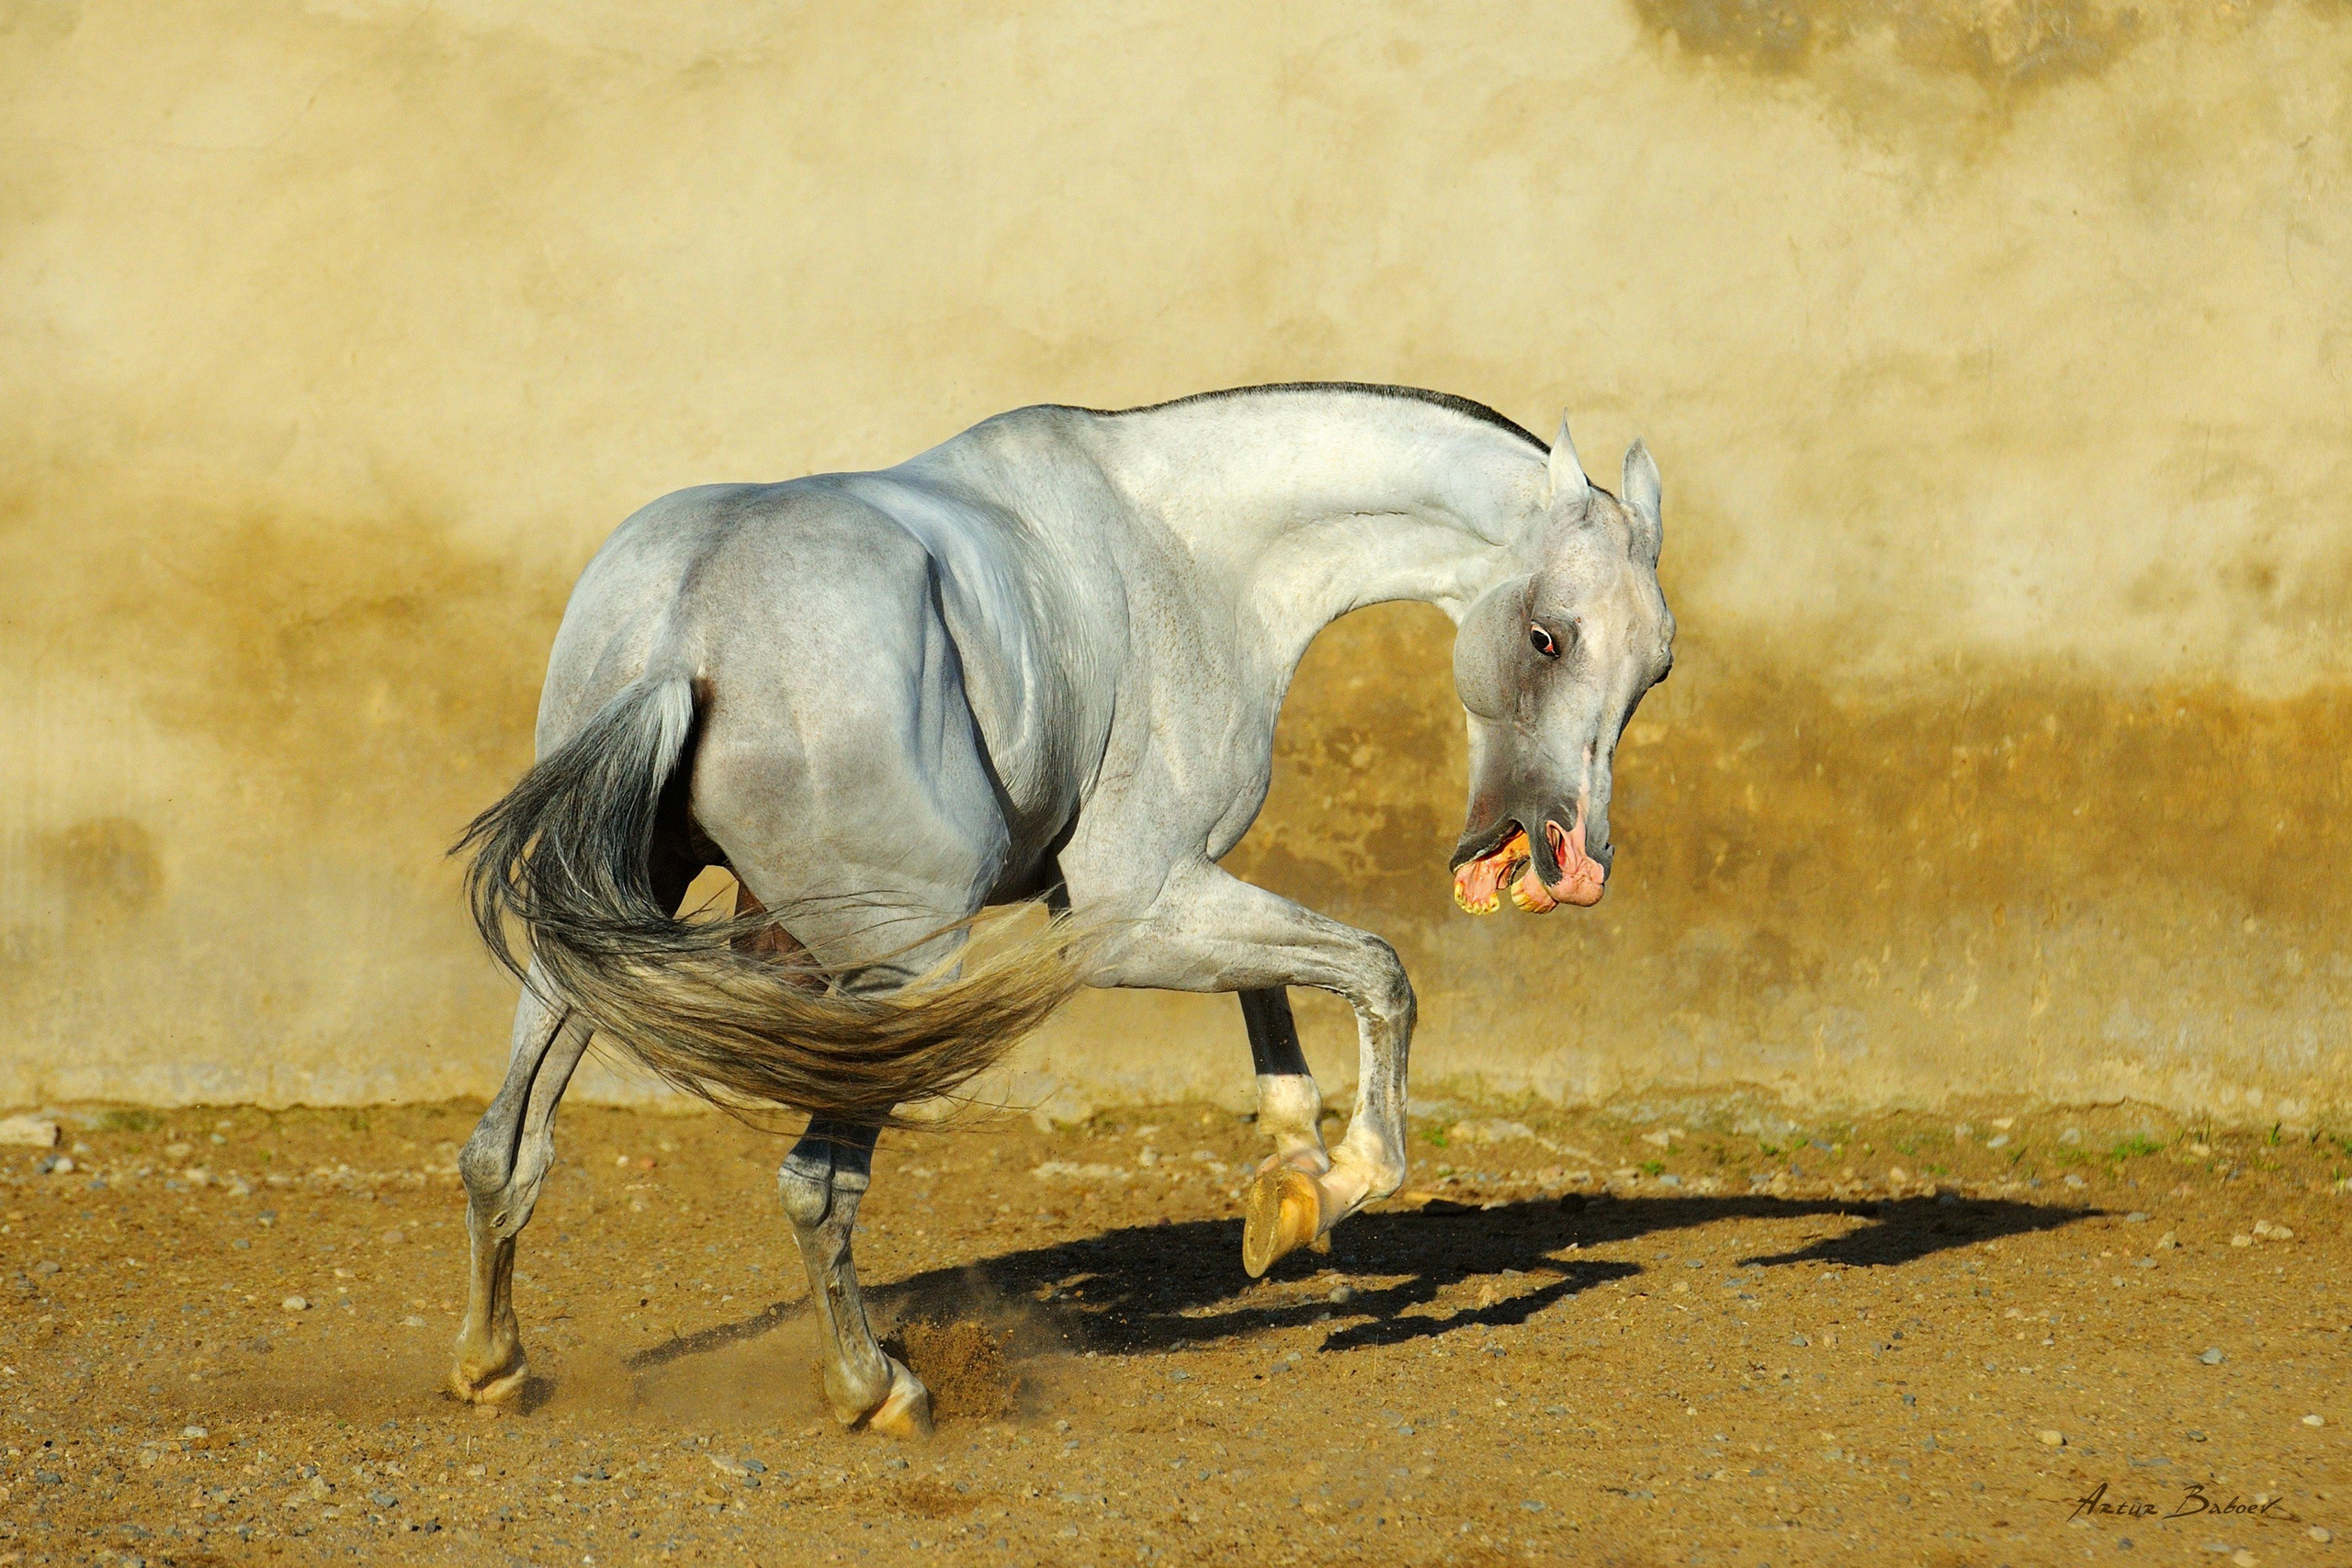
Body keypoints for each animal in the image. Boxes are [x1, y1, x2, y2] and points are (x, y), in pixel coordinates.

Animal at [450, 382, 1676, 1436]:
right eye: (1548, 637)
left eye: (1656, 667)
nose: (1569, 863)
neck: (1189, 551)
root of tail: (686, 628)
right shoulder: (1134, 912)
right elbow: (1376, 971)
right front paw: (1330, 1187)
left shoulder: (1172, 887)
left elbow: (1277, 992)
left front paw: (1285, 1184)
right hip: (895, 981)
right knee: (814, 1188)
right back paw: (876, 1390)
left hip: (587, 944)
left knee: (504, 1152)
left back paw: (494, 1367)